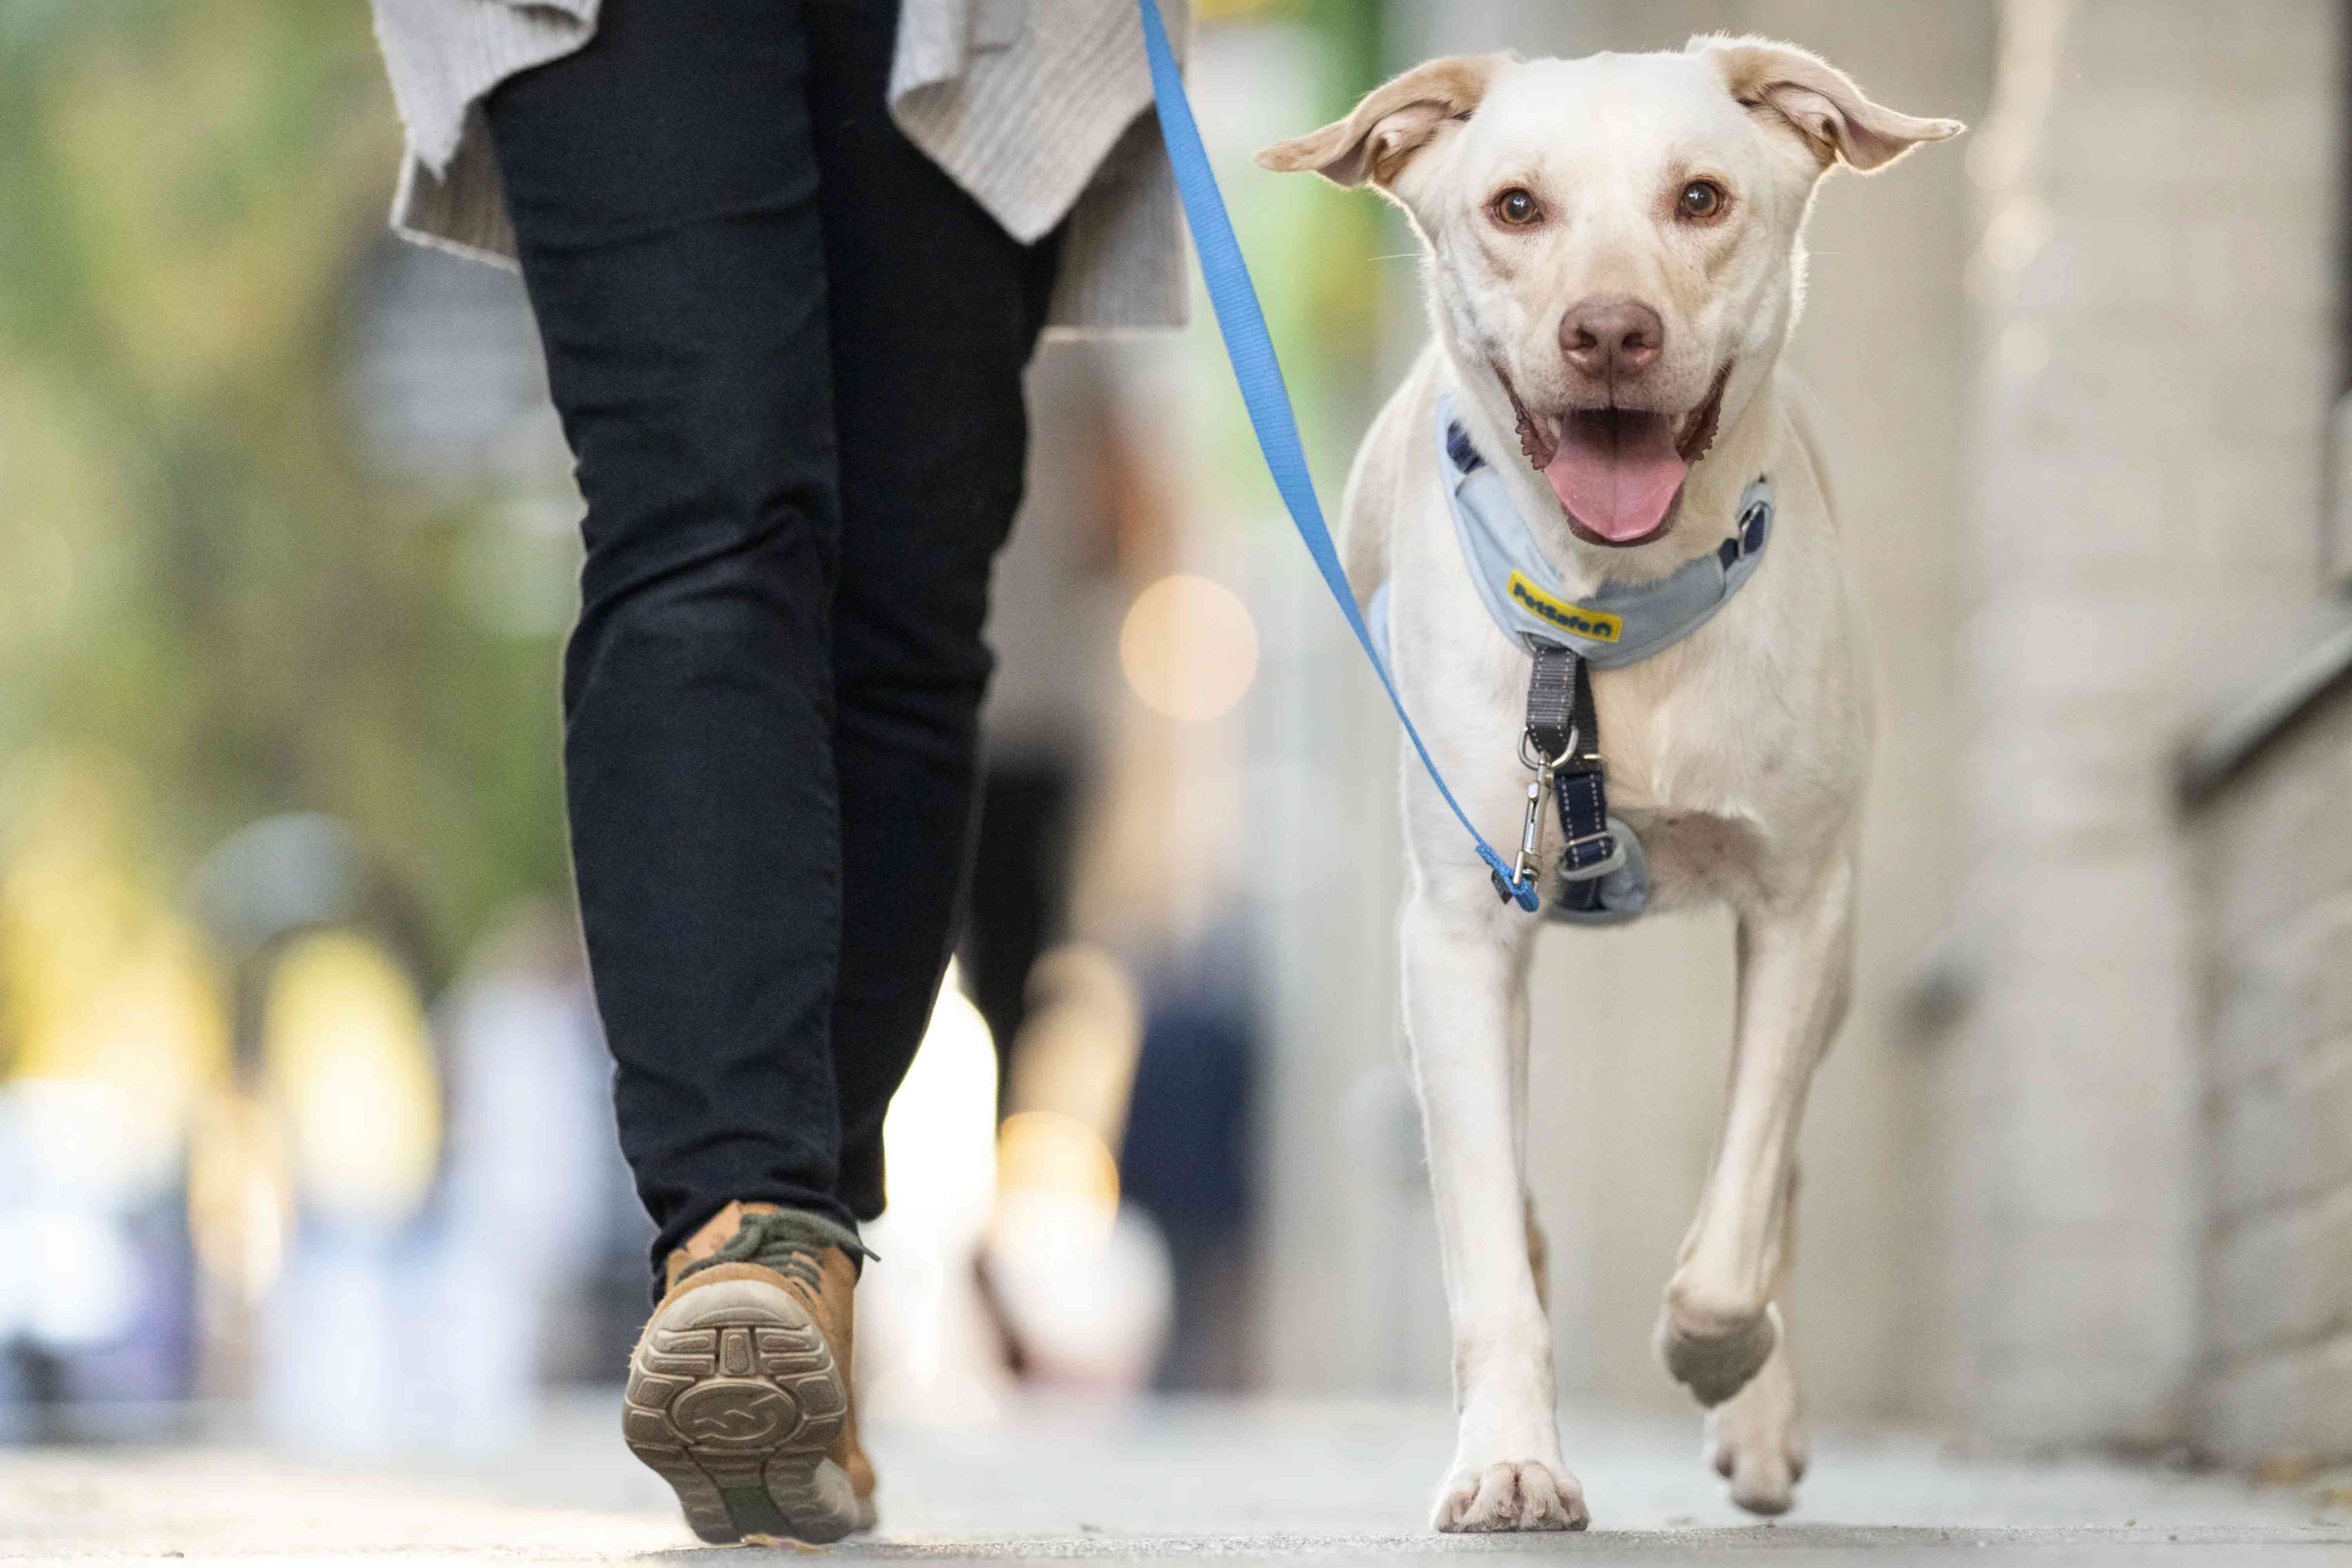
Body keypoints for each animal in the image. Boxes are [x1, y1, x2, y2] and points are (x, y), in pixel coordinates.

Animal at [1261, 36, 1957, 1533]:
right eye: (1516, 207)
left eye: (1700, 198)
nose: (1611, 332)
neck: (1606, 627)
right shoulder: (1458, 937)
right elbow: (1485, 1244)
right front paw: (1510, 1458)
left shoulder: (1802, 906)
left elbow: (1738, 1214)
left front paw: (1718, 1357)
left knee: (1781, 1170)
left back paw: (1757, 1411)